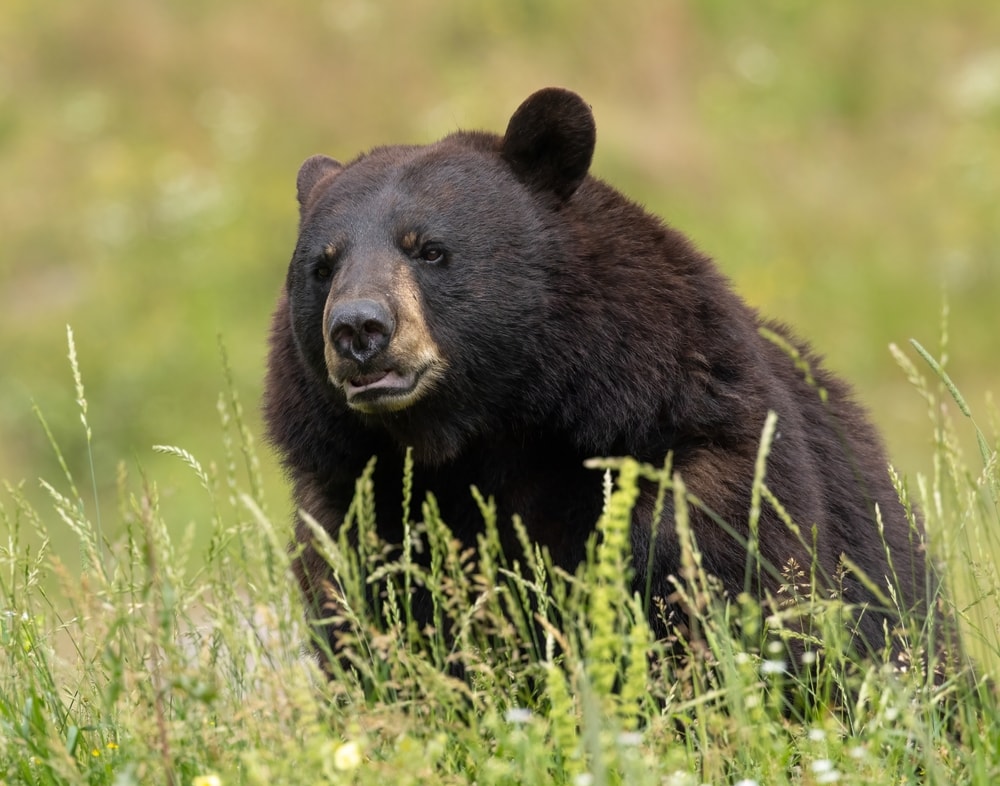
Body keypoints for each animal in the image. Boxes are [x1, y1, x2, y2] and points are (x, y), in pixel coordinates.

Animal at [264, 87, 938, 672]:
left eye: (429, 249)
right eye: (323, 266)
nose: (358, 329)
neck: (486, 431)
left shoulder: (693, 461)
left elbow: (718, 589)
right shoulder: (353, 505)